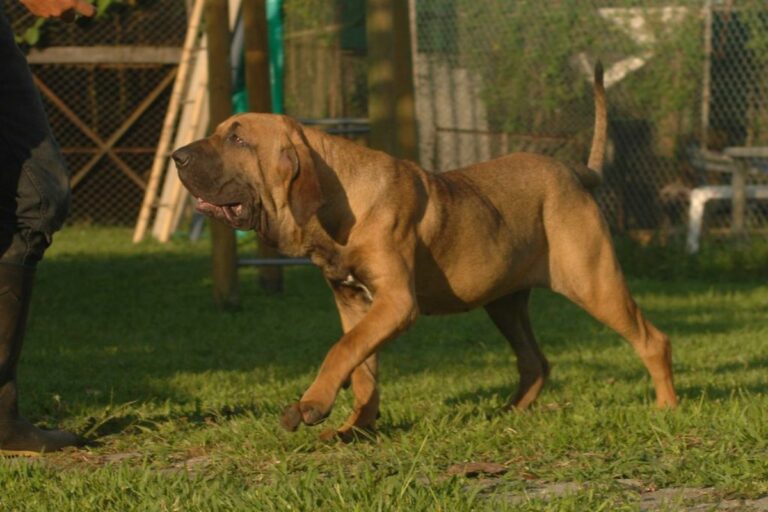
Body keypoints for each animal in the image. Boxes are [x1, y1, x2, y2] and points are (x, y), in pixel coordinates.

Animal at [171, 63, 676, 440]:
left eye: (237, 139)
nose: (177, 156)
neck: (338, 202)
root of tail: (573, 171)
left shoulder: (395, 302)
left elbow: (341, 350)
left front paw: (312, 404)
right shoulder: (354, 305)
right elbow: (362, 367)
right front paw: (355, 427)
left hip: (594, 281)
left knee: (653, 341)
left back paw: (665, 407)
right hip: (505, 303)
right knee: (535, 361)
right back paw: (506, 414)